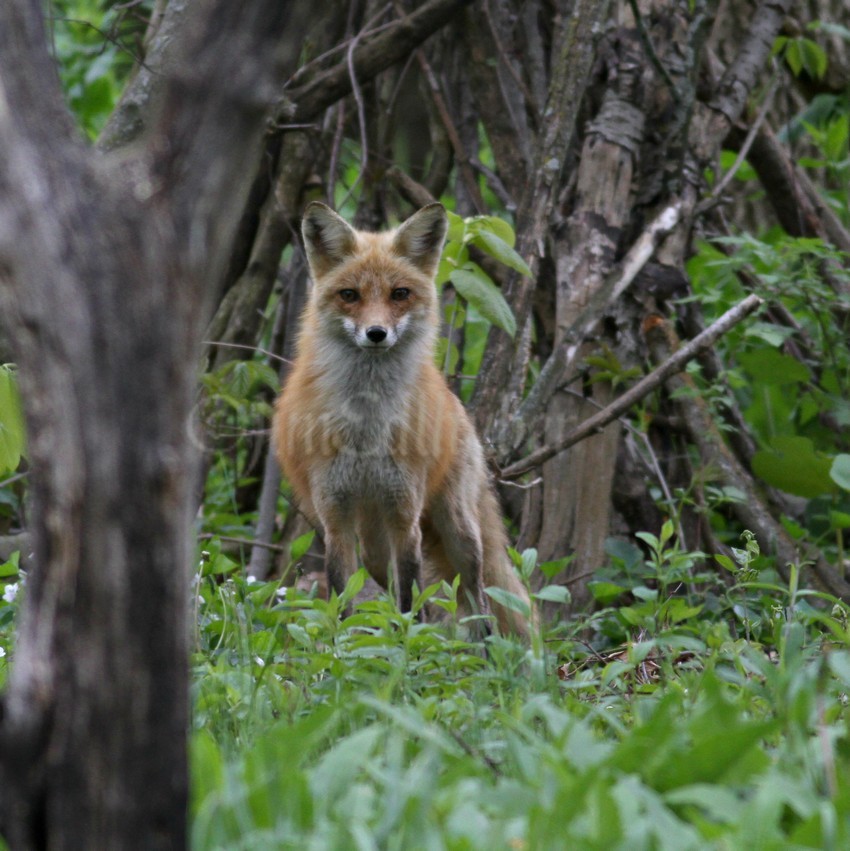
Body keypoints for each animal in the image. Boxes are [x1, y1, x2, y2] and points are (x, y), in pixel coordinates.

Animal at [274, 201, 528, 640]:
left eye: (399, 294)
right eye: (350, 295)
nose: (376, 333)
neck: (366, 428)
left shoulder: (405, 514)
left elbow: (412, 601)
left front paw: (408, 647)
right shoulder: (335, 517)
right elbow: (344, 599)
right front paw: (345, 648)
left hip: (458, 530)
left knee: (478, 599)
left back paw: (485, 650)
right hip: (374, 545)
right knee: (391, 584)